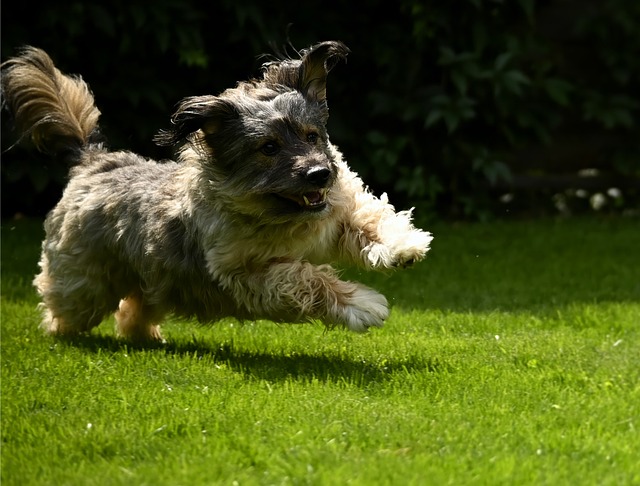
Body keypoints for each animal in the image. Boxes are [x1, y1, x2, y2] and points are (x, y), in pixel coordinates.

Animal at [2, 41, 432, 342]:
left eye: (312, 136)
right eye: (269, 147)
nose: (320, 174)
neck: (282, 216)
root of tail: (92, 162)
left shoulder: (335, 213)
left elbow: (367, 219)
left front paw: (403, 245)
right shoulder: (247, 274)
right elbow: (305, 278)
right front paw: (362, 303)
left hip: (158, 278)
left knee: (135, 305)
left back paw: (146, 336)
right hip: (85, 285)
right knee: (68, 305)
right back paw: (58, 331)